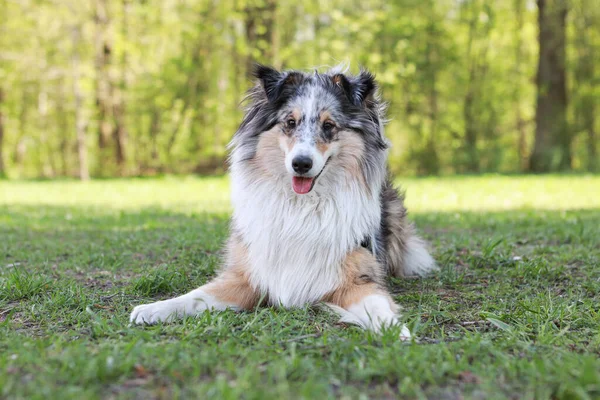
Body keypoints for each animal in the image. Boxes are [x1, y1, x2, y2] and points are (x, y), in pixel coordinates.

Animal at [130, 65, 436, 338]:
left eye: (328, 126)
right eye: (290, 123)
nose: (301, 164)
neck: (302, 206)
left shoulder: (358, 280)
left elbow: (378, 305)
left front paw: (396, 331)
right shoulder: (249, 276)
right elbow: (195, 296)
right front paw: (154, 308)